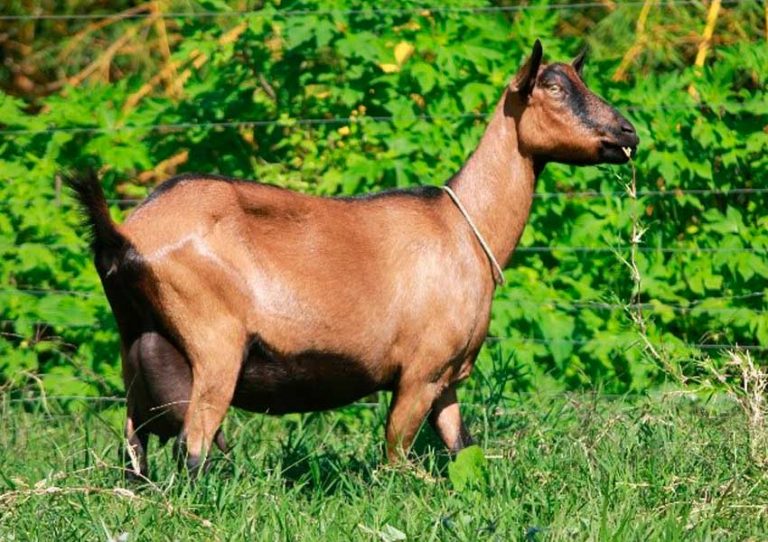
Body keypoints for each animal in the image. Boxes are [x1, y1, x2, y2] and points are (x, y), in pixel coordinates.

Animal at [69, 40, 640, 478]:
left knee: (134, 446)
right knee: (194, 448)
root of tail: (125, 233)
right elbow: (395, 459)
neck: (464, 228)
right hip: (212, 344)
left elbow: (462, 449)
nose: (628, 133)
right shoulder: (419, 372)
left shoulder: (448, 379)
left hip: (136, 343)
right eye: (554, 88)